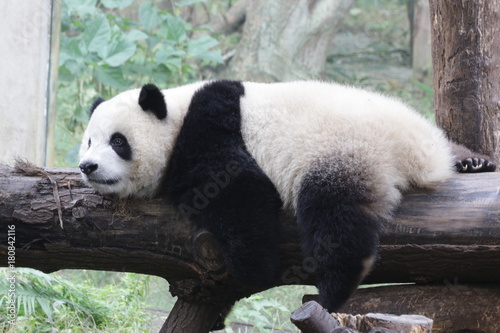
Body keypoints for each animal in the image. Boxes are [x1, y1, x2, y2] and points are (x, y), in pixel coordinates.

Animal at [79, 80, 496, 314]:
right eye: (87, 141)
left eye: (118, 141)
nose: (87, 166)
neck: (176, 114)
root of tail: (417, 153)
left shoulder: (209, 128)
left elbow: (241, 189)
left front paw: (253, 270)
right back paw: (473, 162)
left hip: (344, 153)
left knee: (335, 218)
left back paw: (330, 293)